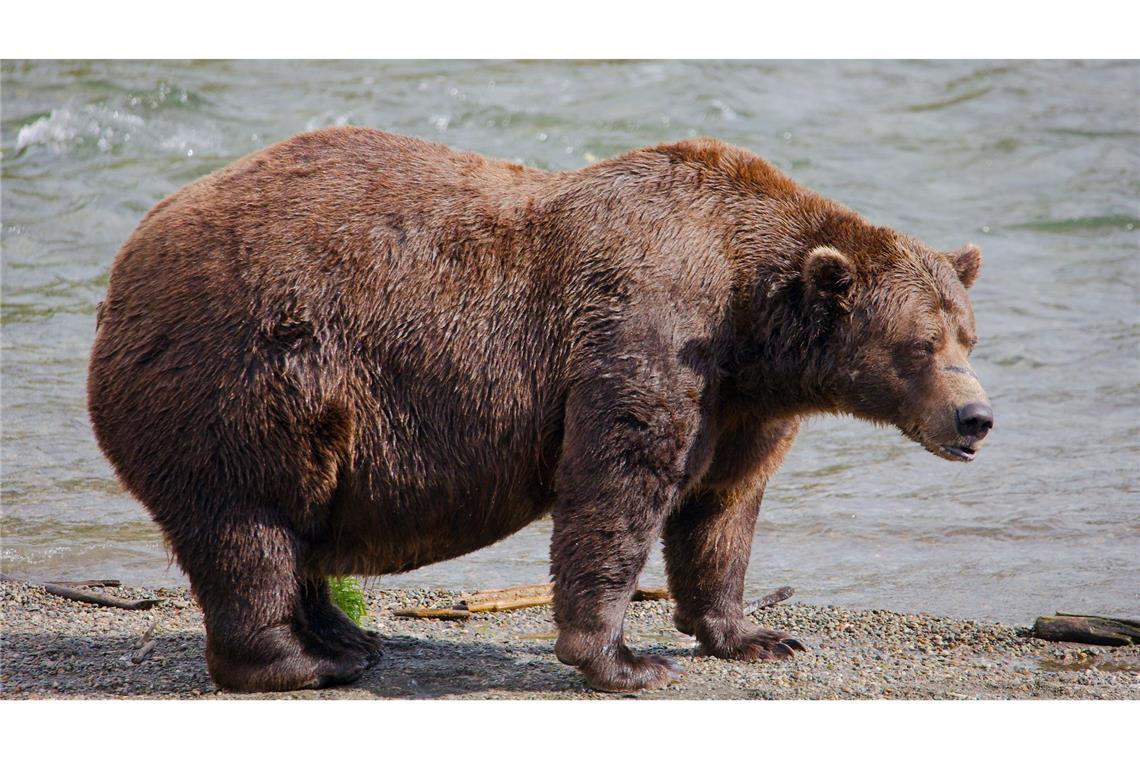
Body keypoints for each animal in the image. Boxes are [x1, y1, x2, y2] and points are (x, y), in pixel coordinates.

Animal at [88, 126, 994, 697]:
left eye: (968, 335)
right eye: (920, 345)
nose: (975, 418)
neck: (751, 316)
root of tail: (124, 264)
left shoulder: (742, 403)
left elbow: (721, 508)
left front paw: (755, 636)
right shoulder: (648, 328)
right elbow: (617, 485)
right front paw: (625, 661)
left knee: (296, 526)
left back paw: (348, 637)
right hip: (247, 373)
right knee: (250, 525)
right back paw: (302, 662)